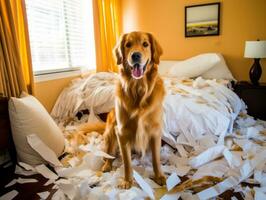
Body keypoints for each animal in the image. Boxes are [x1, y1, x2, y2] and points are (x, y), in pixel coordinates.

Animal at [101, 31, 165, 189]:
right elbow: (127, 162)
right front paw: (127, 181)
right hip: (111, 132)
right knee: (109, 155)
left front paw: (159, 176)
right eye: (128, 45)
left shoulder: (155, 130)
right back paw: (106, 165)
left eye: (145, 44)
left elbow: (156, 158)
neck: (138, 89)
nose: (135, 55)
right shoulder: (122, 132)